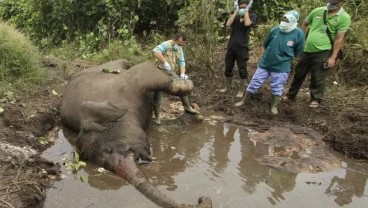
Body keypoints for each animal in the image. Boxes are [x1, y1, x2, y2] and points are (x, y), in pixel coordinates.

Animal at [59, 61, 210, 207]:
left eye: (109, 150)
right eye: (100, 159)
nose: (202, 199)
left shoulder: (133, 82)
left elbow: (149, 70)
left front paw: (188, 88)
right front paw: (195, 115)